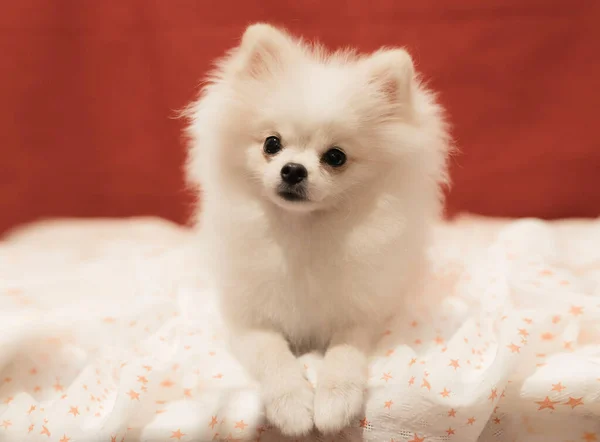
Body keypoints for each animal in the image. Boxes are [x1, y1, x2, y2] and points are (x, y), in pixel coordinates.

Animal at [185, 23, 452, 436]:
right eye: (272, 143)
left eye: (335, 157)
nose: (293, 169)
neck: (302, 232)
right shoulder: (249, 319)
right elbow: (273, 356)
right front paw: (292, 406)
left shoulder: (360, 313)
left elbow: (344, 353)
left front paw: (334, 402)